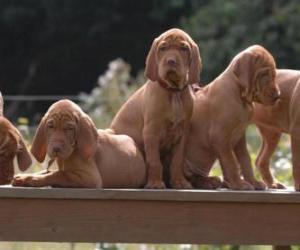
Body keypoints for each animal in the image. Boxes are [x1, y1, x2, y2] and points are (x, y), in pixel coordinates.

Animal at [12, 99, 146, 188]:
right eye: (50, 126)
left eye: (69, 128)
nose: (56, 148)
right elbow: (49, 171)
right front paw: (25, 176)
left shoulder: (90, 178)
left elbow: (58, 174)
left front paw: (33, 179)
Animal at [108, 27, 202, 188]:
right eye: (163, 48)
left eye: (183, 49)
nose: (171, 61)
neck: (173, 92)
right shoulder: (151, 131)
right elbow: (154, 161)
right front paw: (155, 183)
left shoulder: (183, 132)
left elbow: (177, 160)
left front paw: (179, 181)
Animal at [185, 45, 282, 189]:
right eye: (264, 74)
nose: (278, 96)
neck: (240, 96)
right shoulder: (220, 137)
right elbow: (231, 162)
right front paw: (239, 184)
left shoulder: (239, 137)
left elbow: (244, 159)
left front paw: (251, 182)